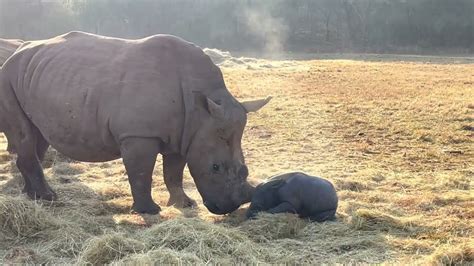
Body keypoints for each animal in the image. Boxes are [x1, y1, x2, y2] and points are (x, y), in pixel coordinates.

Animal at [0, 31, 270, 214]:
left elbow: (174, 172)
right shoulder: (139, 134)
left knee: (38, 136)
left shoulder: (184, 134)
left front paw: (183, 204)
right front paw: (149, 211)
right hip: (7, 77)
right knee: (25, 135)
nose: (230, 207)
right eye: (215, 167)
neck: (201, 108)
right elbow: (141, 172)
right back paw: (48, 197)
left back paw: (31, 196)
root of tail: (16, 52)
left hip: (37, 77)